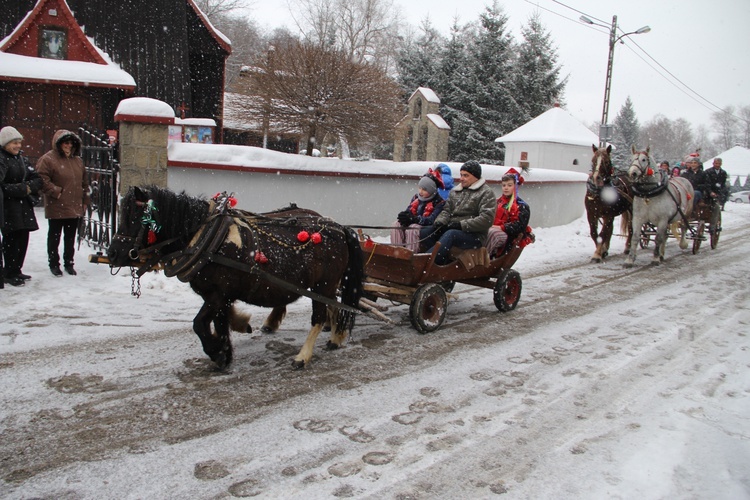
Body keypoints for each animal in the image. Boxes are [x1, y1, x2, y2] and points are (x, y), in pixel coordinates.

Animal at [107, 186, 366, 370]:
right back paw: (336, 336)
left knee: (319, 316)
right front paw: (227, 347)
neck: (205, 238)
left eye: (135, 218)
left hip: (323, 285)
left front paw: (217, 351)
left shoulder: (218, 294)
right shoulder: (219, 297)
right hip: (322, 286)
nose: (112, 254)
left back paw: (303, 356)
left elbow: (199, 323)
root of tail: (339, 227)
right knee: (334, 306)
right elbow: (221, 321)